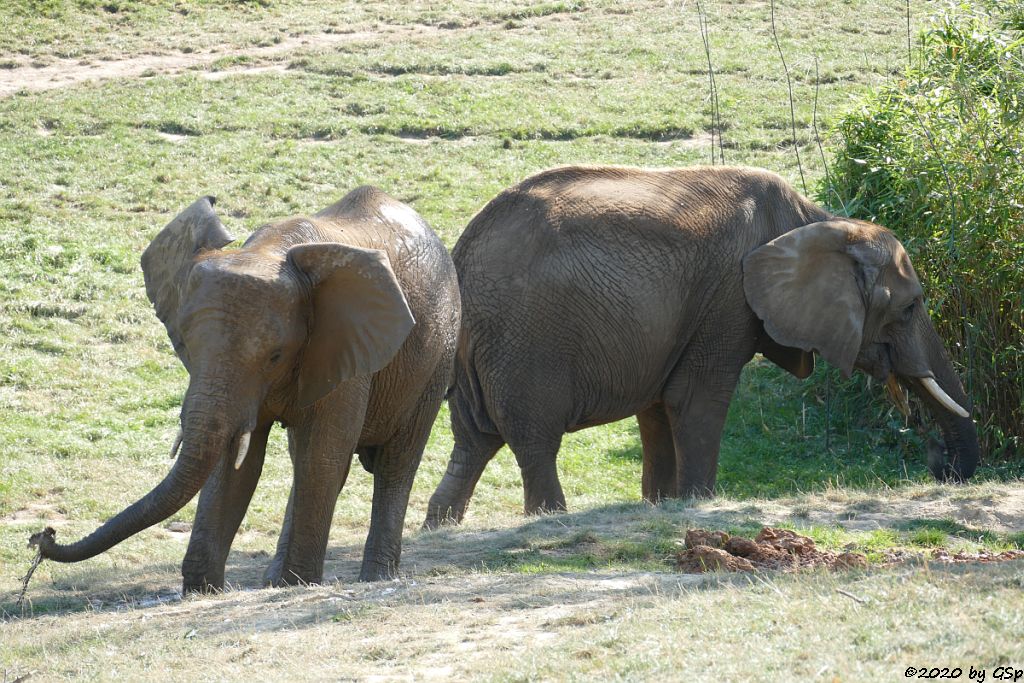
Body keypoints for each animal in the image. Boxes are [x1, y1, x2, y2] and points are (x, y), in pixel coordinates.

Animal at [29, 187, 460, 593]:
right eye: (183, 345)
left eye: (275, 356)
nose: (43, 536)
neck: (270, 250)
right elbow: (236, 459)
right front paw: (203, 590)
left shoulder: (343, 348)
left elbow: (322, 454)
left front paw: (298, 583)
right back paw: (276, 580)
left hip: (439, 355)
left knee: (394, 462)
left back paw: (372, 576)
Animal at [421, 165, 974, 528]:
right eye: (909, 308)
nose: (942, 468)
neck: (816, 220)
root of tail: (461, 251)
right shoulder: (727, 300)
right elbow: (694, 400)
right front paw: (696, 504)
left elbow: (657, 410)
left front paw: (661, 507)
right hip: (524, 342)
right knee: (534, 442)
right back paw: (548, 521)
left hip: (477, 347)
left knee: (472, 442)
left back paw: (439, 525)